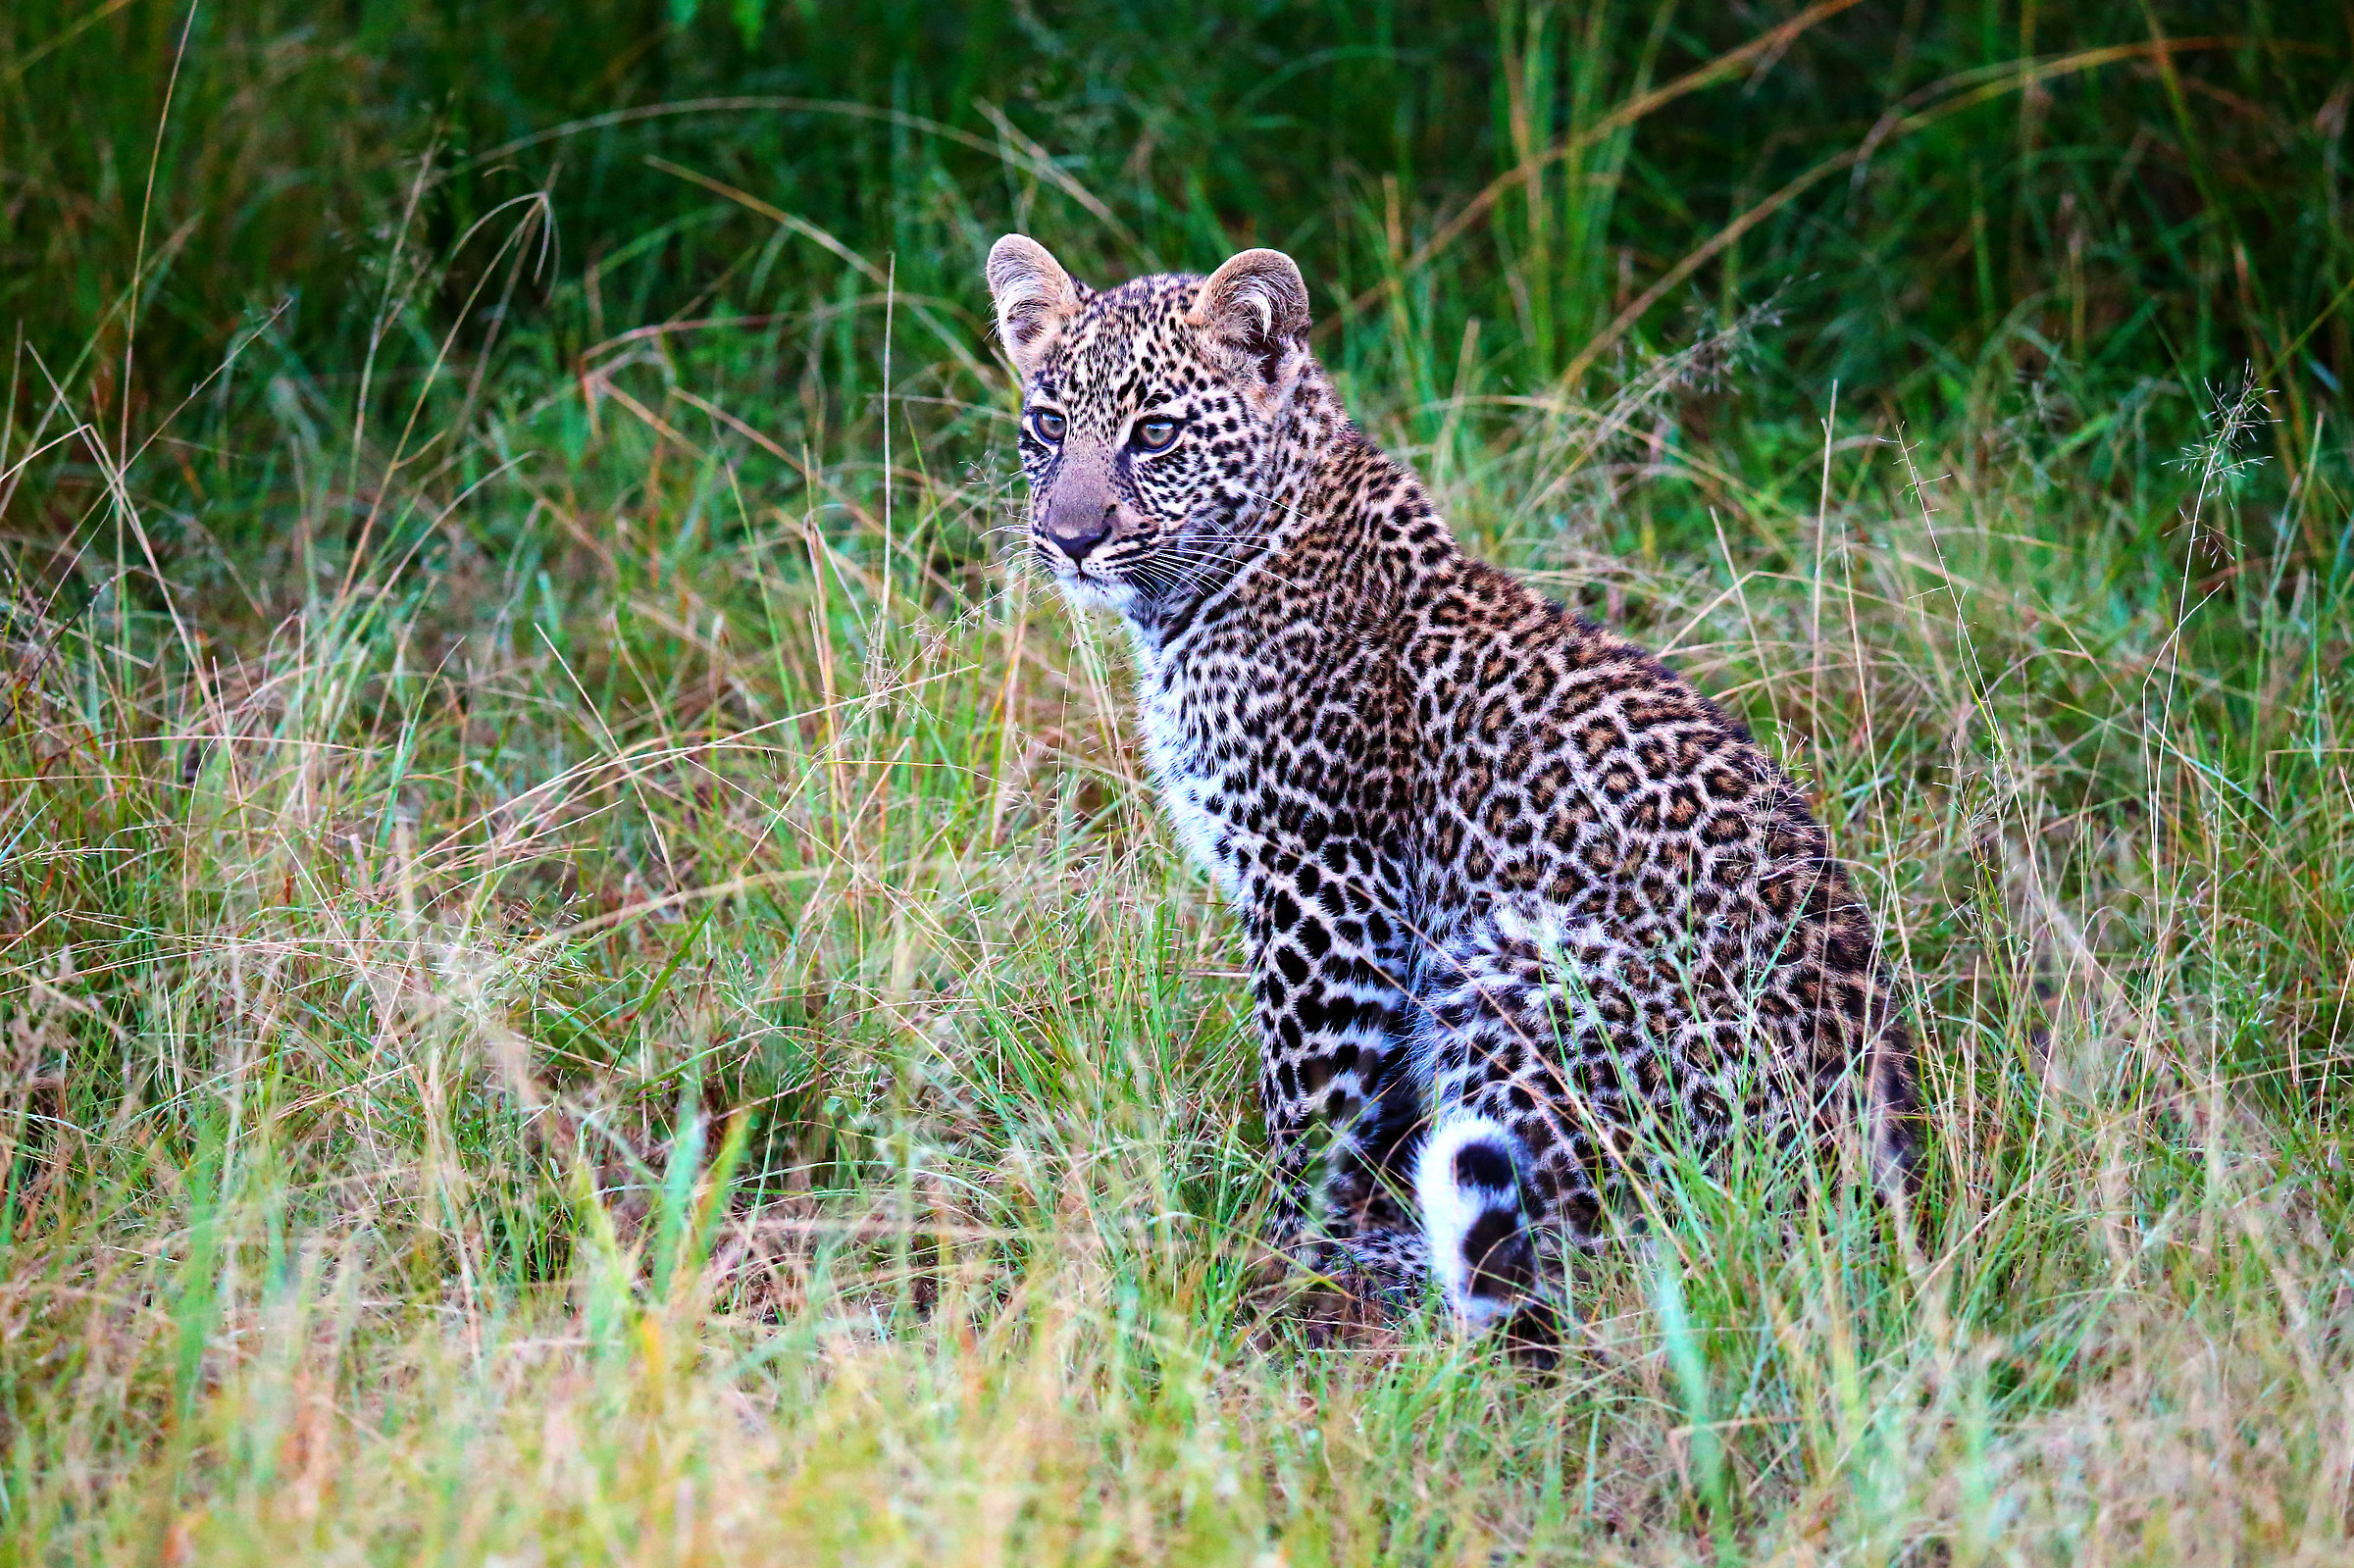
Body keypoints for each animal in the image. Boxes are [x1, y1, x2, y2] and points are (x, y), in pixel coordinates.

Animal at [984, 234, 1921, 1332]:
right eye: (1050, 426)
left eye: (1157, 433)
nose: (1070, 538)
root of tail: (1858, 1191)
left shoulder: (1326, 890)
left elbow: (1310, 1102)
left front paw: (1281, 1248)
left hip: (1511, 964)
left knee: (1595, 1248)